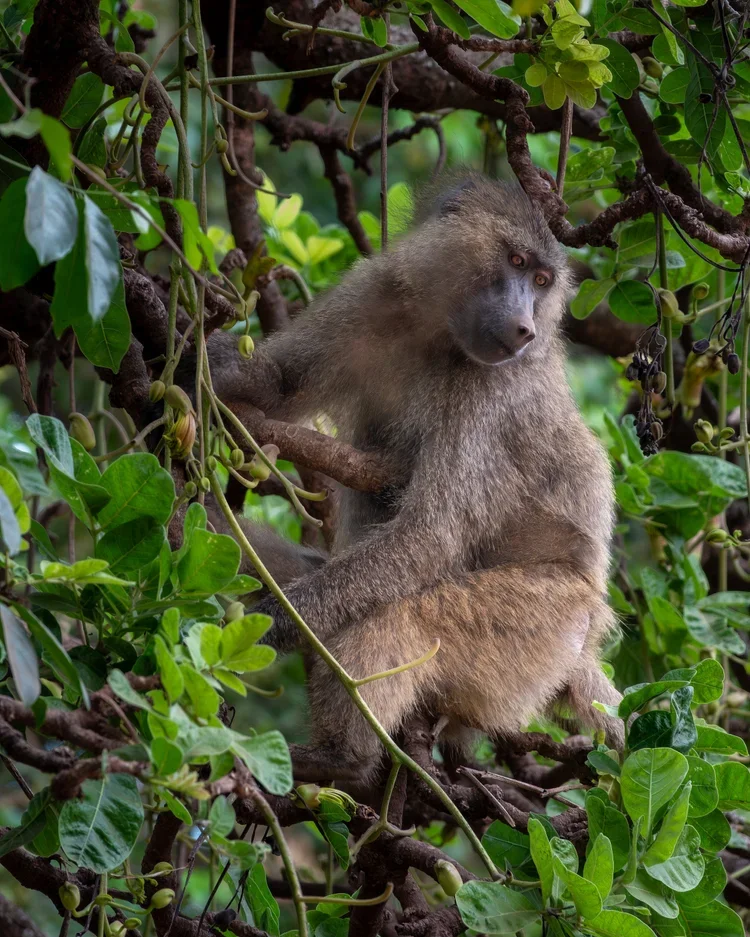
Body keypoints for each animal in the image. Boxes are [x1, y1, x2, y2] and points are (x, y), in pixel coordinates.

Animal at [206, 173, 624, 782]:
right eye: (517, 261)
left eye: (543, 281)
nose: (525, 328)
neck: (437, 329)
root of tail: (588, 642)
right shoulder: (374, 293)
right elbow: (277, 387)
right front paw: (202, 366)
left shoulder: (489, 395)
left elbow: (429, 536)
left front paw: (266, 626)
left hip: (549, 620)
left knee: (405, 611)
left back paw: (341, 760)